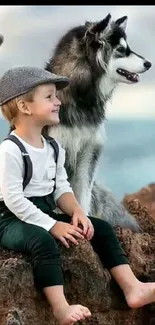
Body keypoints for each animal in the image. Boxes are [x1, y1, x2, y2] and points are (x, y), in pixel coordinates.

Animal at [43, 13, 151, 229]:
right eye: (121, 50)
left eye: (127, 47)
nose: (149, 64)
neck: (79, 95)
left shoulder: (89, 151)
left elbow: (82, 196)